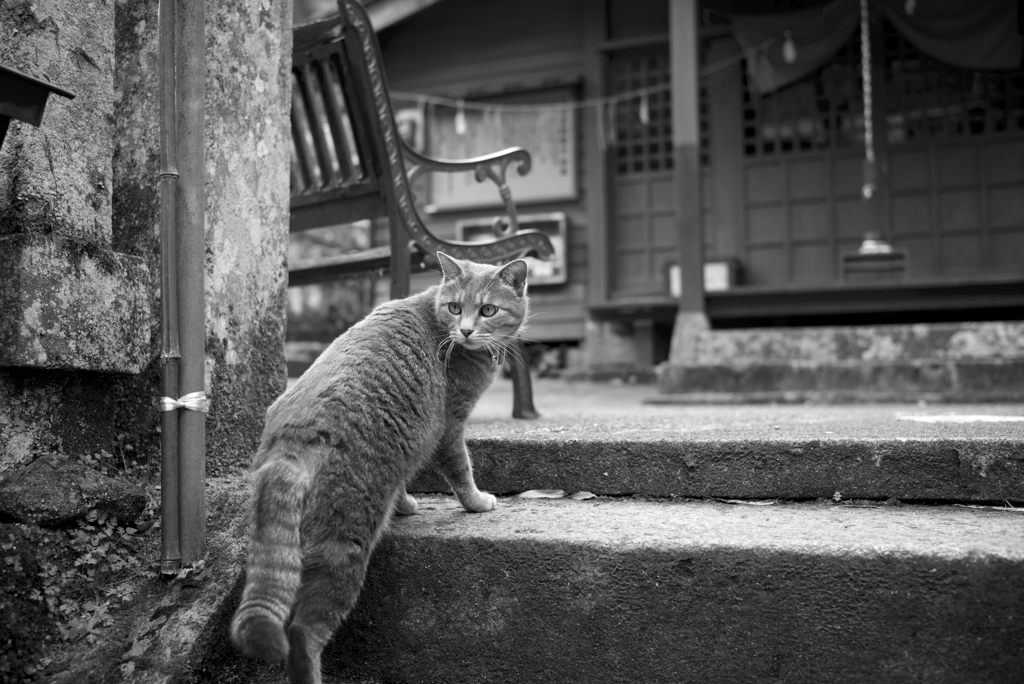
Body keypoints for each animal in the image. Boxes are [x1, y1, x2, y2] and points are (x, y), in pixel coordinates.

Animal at [231, 250, 528, 684]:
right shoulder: (449, 424)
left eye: (488, 309)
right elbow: (461, 469)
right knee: (302, 635)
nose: (467, 330)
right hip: (344, 545)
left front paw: (403, 505)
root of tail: (292, 438)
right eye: (456, 308)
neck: (437, 322)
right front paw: (476, 502)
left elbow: (404, 480)